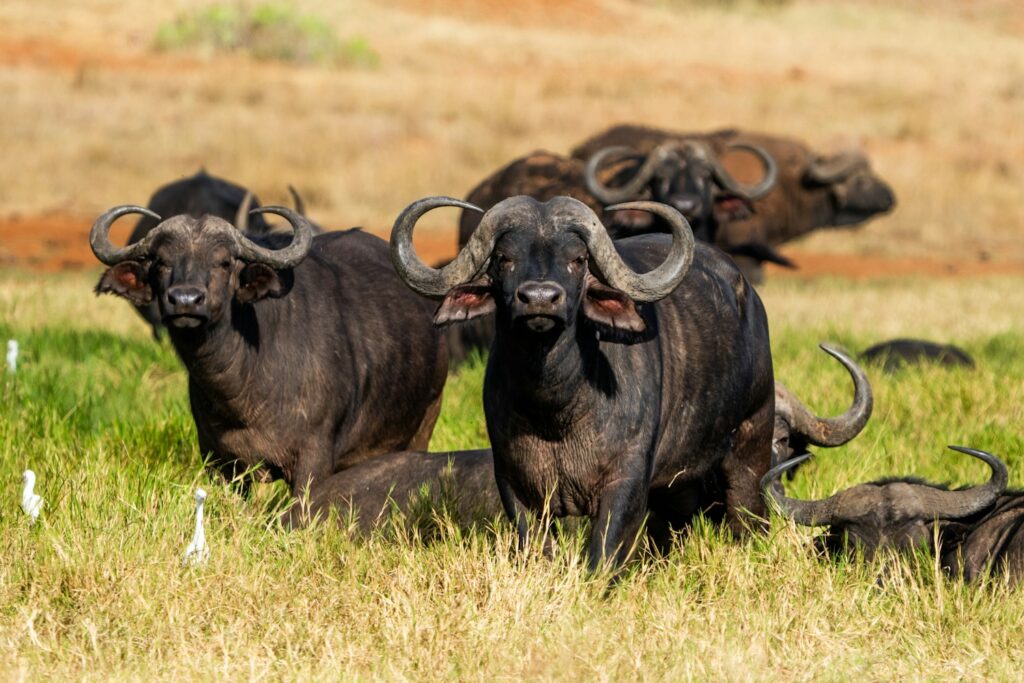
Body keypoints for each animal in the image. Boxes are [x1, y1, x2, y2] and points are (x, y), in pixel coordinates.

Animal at [91, 205, 448, 504]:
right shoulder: (217, 460)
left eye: (224, 262)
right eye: (162, 263)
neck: (243, 387)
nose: (185, 300)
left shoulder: (313, 459)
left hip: (425, 421)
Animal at [392, 195, 775, 570]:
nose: (540, 298)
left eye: (577, 260)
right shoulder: (513, 481)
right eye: (504, 258)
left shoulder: (625, 479)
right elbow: (536, 547)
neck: (555, 410)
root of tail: (748, 298)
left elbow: (603, 552)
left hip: (752, 445)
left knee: (747, 513)